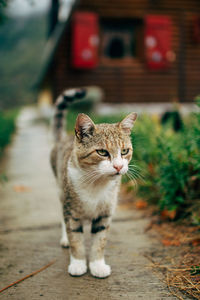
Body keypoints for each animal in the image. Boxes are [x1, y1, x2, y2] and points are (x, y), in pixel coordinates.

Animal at [50, 88, 137, 278]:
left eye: (124, 151)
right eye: (102, 152)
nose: (119, 166)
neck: (96, 183)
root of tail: (63, 138)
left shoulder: (105, 213)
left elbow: (100, 239)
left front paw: (97, 265)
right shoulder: (72, 210)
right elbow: (75, 238)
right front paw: (78, 263)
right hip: (61, 190)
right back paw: (65, 239)